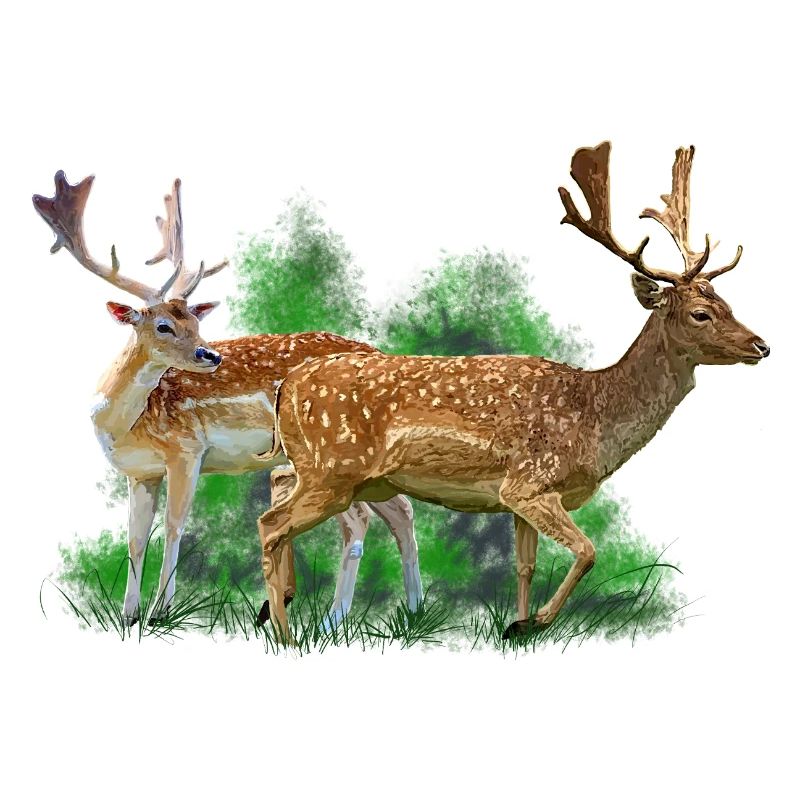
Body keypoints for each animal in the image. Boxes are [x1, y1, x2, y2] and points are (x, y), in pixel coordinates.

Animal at [33, 171, 423, 629]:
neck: (123, 424)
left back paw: (334, 620)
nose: (210, 355)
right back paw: (412, 611)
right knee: (400, 509)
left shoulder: (187, 450)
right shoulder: (139, 472)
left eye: (196, 321)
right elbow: (135, 537)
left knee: (360, 521)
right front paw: (128, 616)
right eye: (163, 325)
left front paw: (159, 612)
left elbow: (174, 525)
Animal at [255, 141, 770, 642]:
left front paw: (516, 627)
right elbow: (587, 551)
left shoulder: (518, 499)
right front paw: (532, 622)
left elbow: (526, 566)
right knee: (271, 525)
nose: (761, 345)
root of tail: (287, 385)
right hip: (332, 470)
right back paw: (284, 635)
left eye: (729, 303)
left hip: (326, 471)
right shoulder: (530, 482)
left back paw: (277, 613)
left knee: (277, 504)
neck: (594, 416)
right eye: (701, 313)